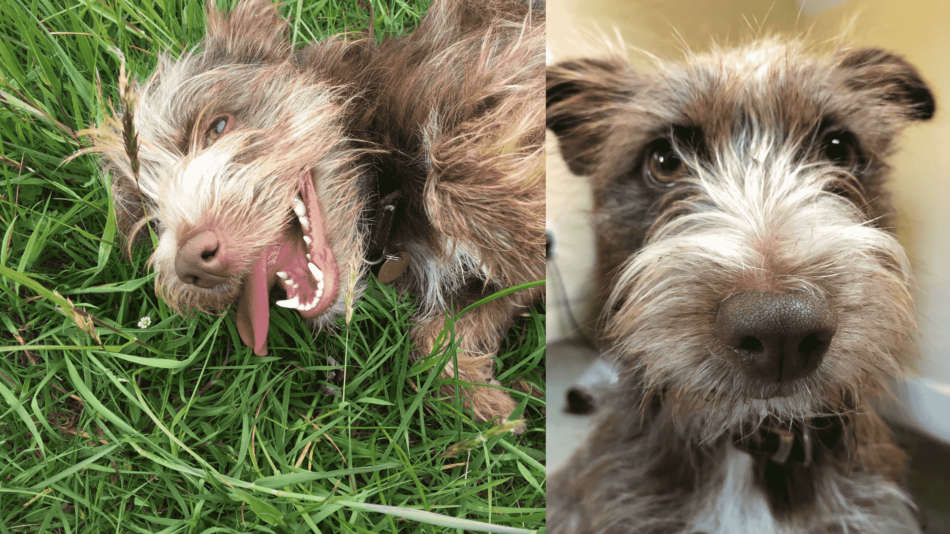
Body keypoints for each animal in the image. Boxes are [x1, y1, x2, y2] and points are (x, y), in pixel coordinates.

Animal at [85, 1, 548, 428]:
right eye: (151, 215)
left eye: (217, 127)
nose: (191, 262)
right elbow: (434, 340)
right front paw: (483, 397)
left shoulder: (499, 68)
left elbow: (457, 169)